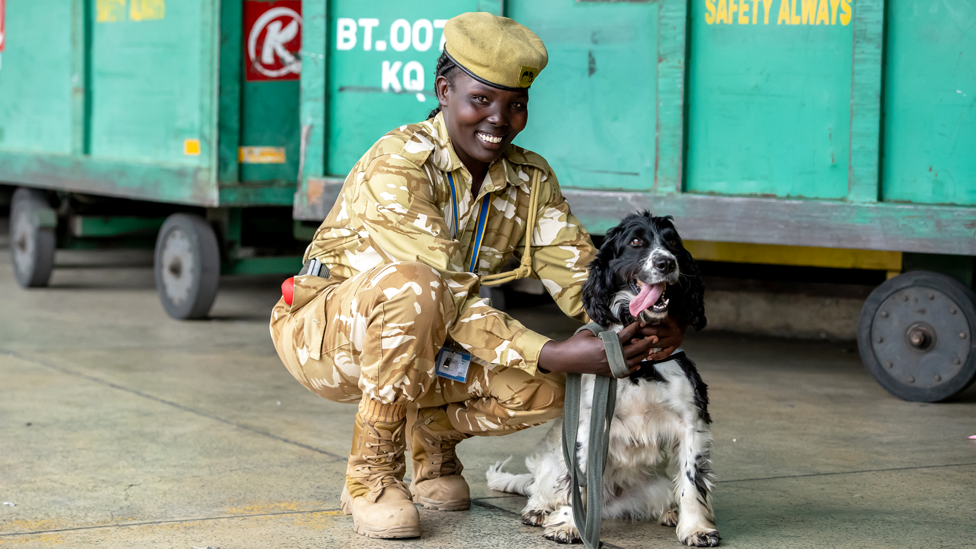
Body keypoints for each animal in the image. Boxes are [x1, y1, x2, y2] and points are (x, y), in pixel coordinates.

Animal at [486, 212, 716, 544]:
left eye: (673, 241)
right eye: (636, 241)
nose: (666, 263)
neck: (640, 365)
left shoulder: (691, 422)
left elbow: (691, 481)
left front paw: (696, 528)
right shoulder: (587, 426)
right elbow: (577, 483)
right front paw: (569, 525)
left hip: (654, 485)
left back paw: (670, 513)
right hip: (551, 462)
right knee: (540, 486)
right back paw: (539, 510)